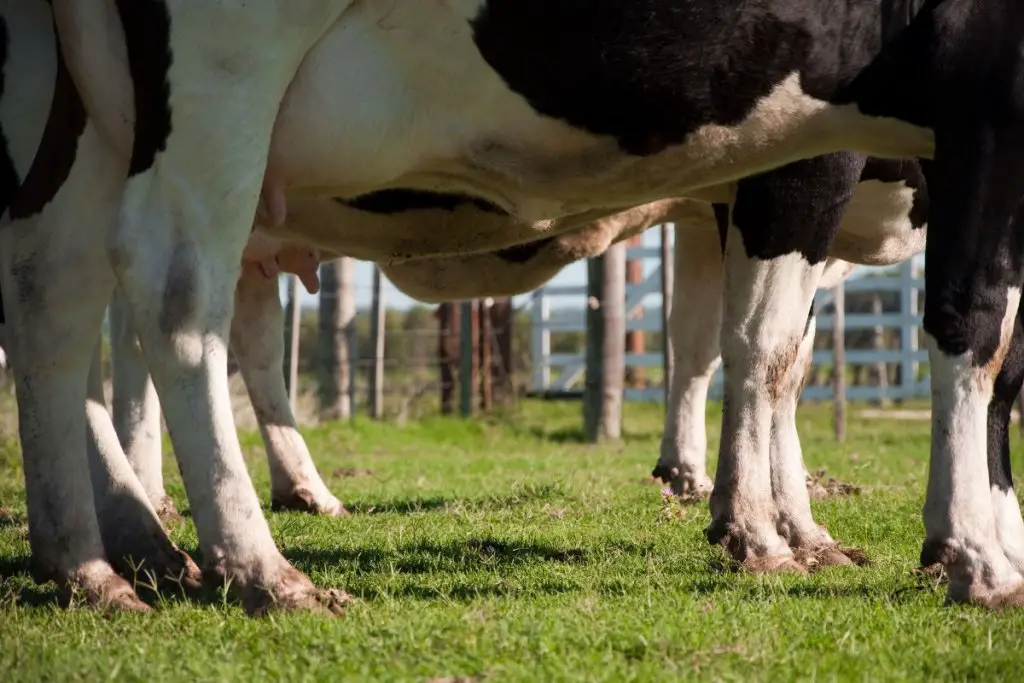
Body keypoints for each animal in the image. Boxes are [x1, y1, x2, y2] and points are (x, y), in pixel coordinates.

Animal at [2, 0, 1024, 618]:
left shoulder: (730, 190)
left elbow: (725, 345)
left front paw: (770, 513)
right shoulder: (823, 148)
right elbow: (929, 330)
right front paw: (965, 551)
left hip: (88, 113)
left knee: (55, 290)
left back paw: (98, 558)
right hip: (221, 72)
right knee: (172, 296)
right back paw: (253, 562)